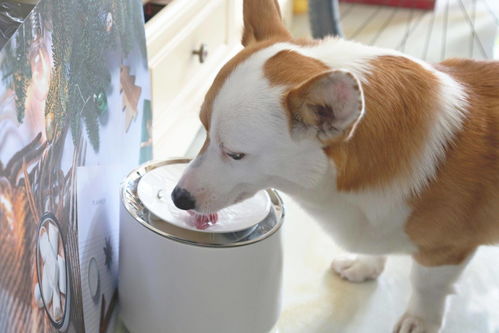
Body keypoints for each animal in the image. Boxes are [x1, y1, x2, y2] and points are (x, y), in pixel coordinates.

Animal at [172, 1, 499, 330]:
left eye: (235, 154)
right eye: (204, 129)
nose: (178, 198)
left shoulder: (447, 250)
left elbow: (426, 286)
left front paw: (419, 321)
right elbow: (377, 247)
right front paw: (364, 266)